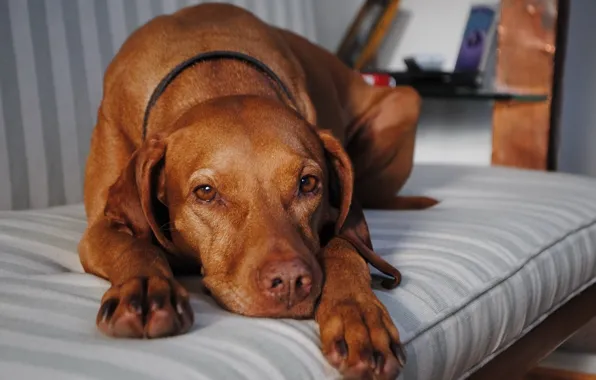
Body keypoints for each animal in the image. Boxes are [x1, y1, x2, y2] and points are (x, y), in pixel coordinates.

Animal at [78, 3, 434, 380]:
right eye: (206, 192)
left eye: (308, 183)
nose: (290, 281)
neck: (216, 74)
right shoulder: (100, 226)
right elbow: (135, 246)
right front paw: (146, 287)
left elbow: (343, 247)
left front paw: (357, 314)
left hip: (405, 100)